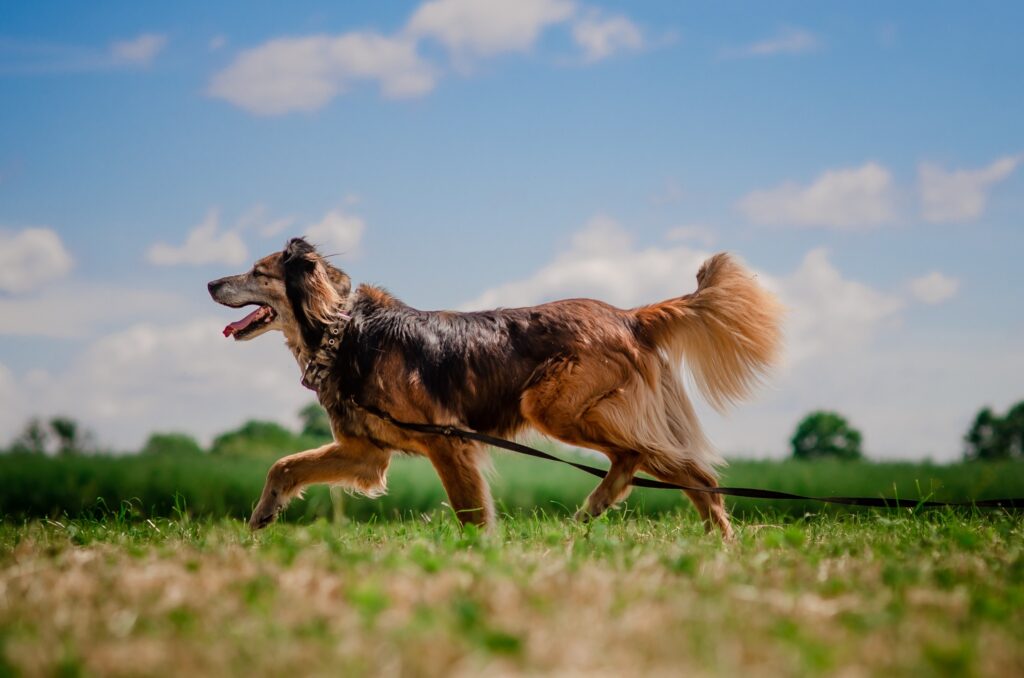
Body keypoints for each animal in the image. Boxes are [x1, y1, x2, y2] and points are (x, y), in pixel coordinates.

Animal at [209, 236, 782, 540]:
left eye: (258, 272)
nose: (210, 283)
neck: (344, 331)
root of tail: (628, 314)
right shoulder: (365, 452)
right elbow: (284, 465)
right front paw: (261, 517)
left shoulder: (446, 441)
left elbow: (470, 512)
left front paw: (479, 557)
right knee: (662, 465)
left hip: (554, 404)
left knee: (665, 461)